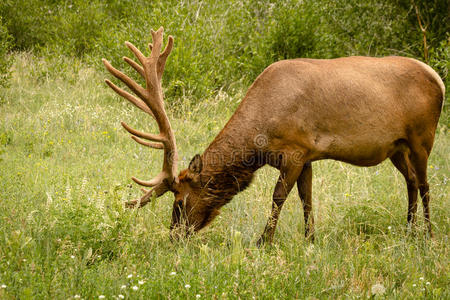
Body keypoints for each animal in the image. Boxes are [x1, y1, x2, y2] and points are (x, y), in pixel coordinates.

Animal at [102, 27, 442, 244]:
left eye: (180, 202)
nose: (174, 236)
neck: (258, 142)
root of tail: (437, 78)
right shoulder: (307, 156)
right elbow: (306, 198)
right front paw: (310, 239)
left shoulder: (294, 151)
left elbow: (279, 197)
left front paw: (263, 241)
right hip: (396, 147)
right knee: (411, 180)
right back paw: (408, 228)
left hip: (422, 137)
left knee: (425, 184)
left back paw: (428, 234)